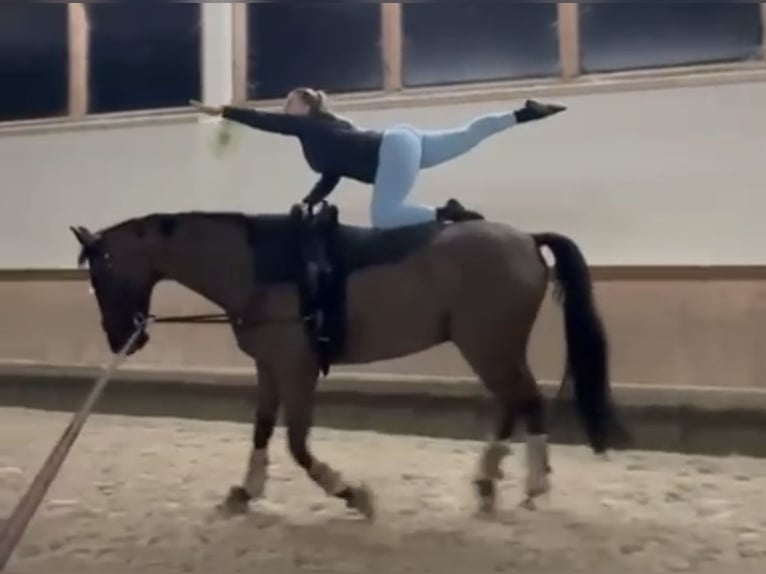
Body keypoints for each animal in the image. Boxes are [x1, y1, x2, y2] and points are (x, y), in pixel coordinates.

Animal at [70, 208, 626, 520]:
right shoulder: (269, 368)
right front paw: (245, 492)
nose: (121, 338)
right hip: (493, 347)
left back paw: (532, 486)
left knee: (526, 401)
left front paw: (352, 493)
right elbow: (262, 430)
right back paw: (489, 485)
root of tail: (527, 239)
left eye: (102, 273)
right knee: (512, 402)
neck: (261, 266)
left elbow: (296, 445)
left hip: (489, 345)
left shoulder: (296, 369)